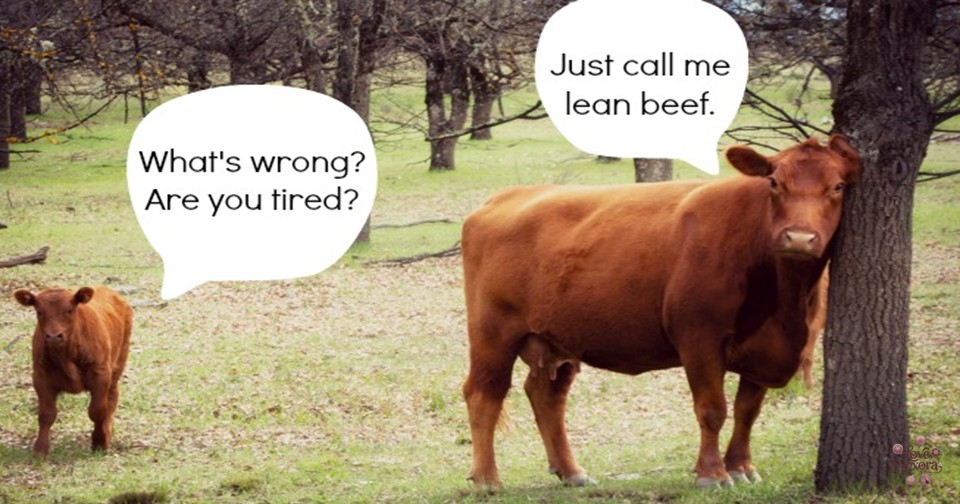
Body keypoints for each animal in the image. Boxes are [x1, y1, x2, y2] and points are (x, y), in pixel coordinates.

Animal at [14, 286, 133, 456]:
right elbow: (46, 414)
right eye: (39, 311)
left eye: (69, 310)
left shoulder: (101, 374)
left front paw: (99, 442)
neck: (66, 357)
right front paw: (40, 449)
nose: (53, 336)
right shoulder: (40, 377)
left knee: (111, 398)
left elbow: (97, 411)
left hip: (118, 364)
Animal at [460, 135, 860, 489]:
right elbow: (713, 409)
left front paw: (742, 467)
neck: (786, 300)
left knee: (547, 396)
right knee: (484, 394)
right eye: (775, 183)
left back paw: (572, 472)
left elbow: (748, 410)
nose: (799, 238)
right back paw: (487, 480)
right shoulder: (698, 337)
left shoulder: (763, 349)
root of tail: (508, 195)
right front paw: (711, 475)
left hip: (556, 336)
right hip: (493, 333)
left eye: (838, 186)